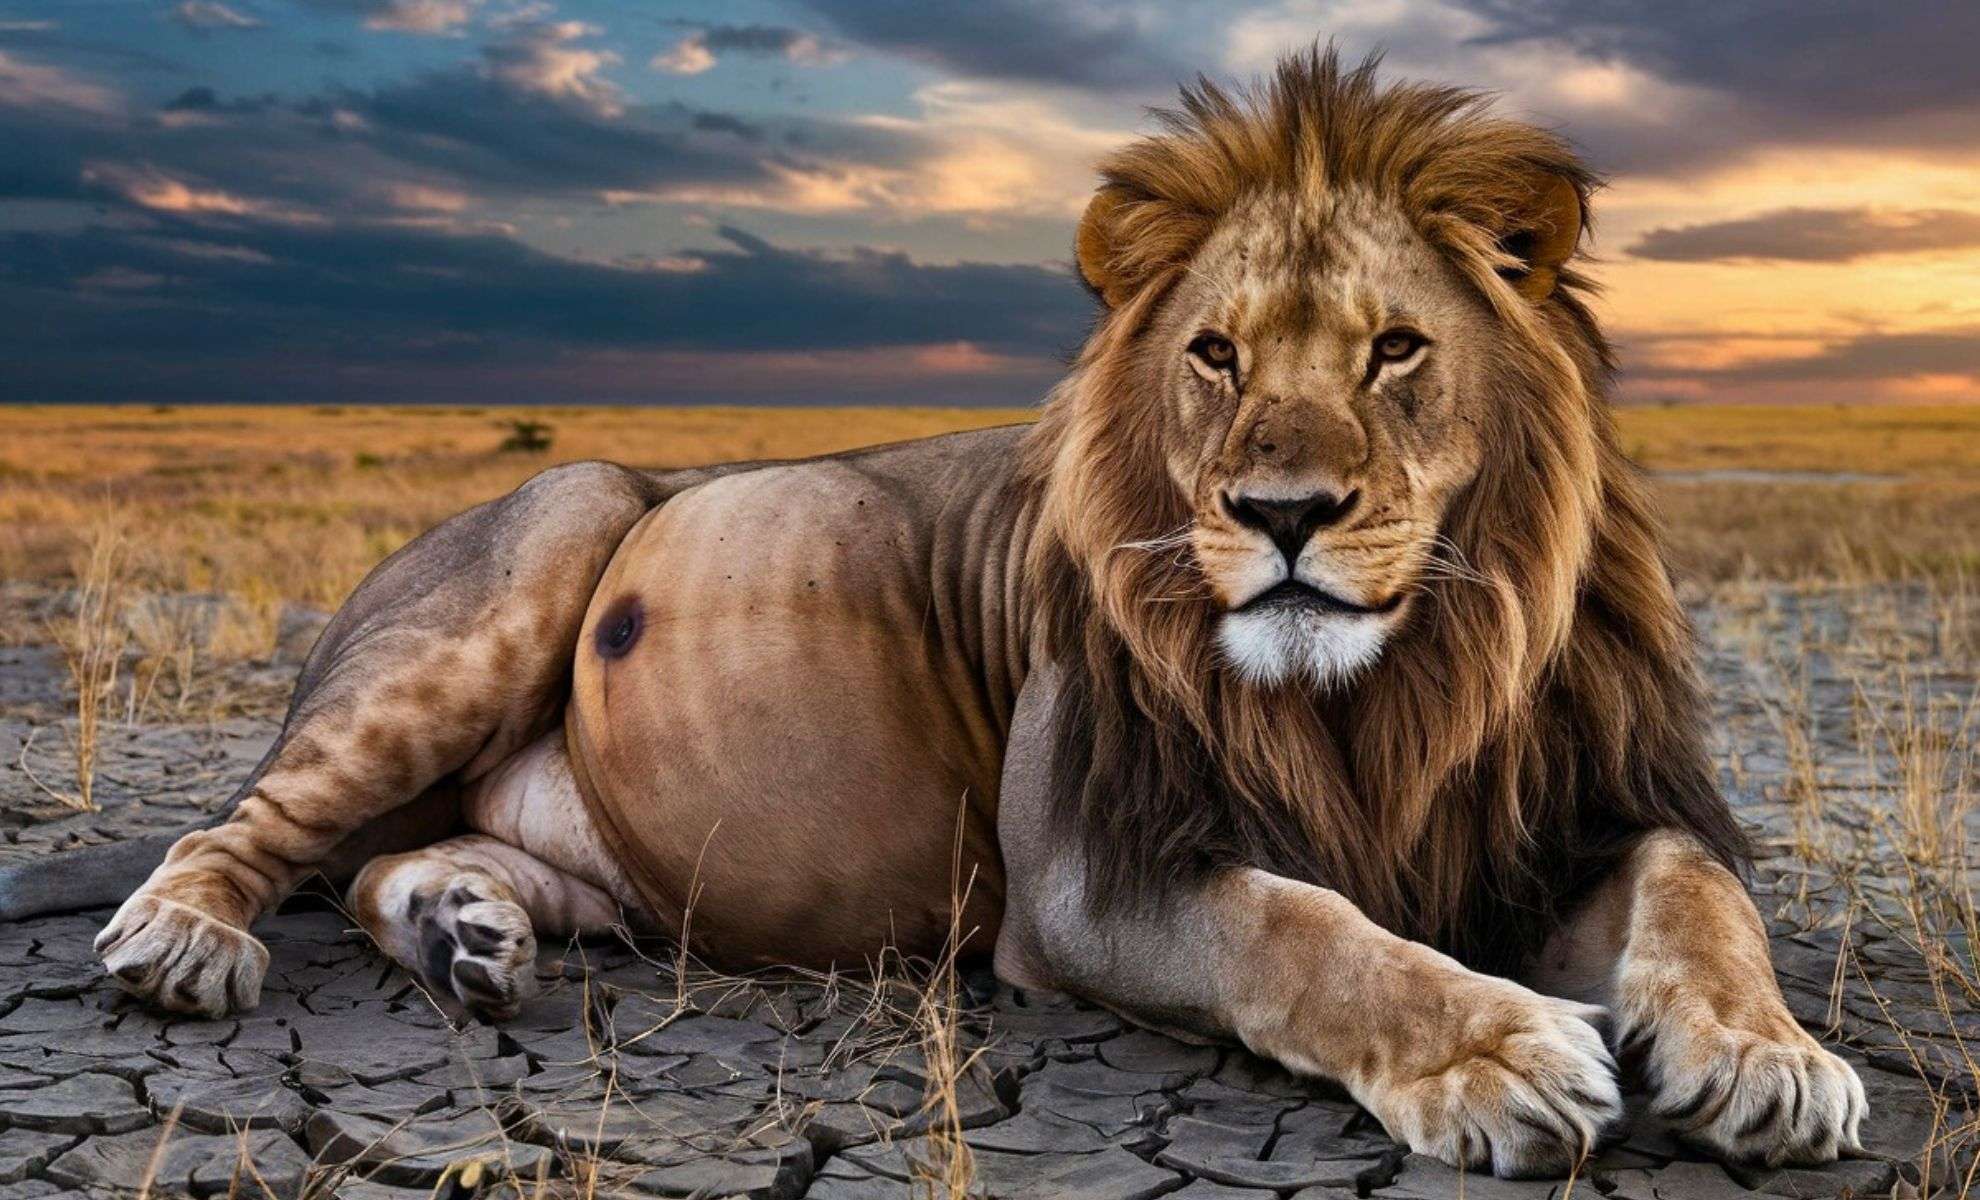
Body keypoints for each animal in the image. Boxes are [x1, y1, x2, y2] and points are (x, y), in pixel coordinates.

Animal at [0, 50, 1865, 1179]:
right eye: (1215, 356)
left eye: (1397, 352)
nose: (1280, 517)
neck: (1390, 689)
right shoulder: (1087, 881)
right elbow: (1305, 932)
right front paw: (1504, 1052)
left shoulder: (1553, 820)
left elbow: (1698, 887)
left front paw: (1767, 1057)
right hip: (547, 537)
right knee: (255, 825)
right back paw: (185, 941)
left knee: (401, 855)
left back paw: (468, 929)